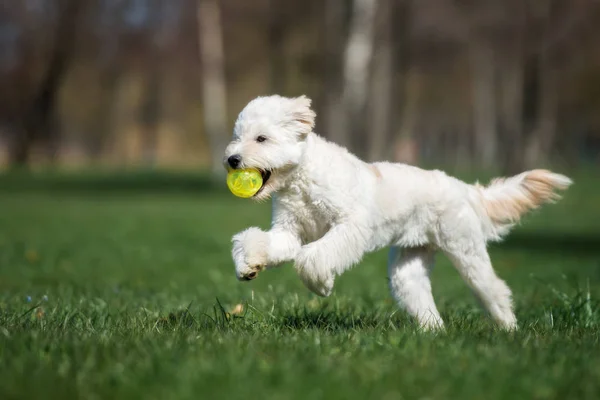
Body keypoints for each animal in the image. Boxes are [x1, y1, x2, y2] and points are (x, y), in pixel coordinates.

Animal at [224, 95, 572, 330]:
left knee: (494, 289)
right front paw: (249, 265)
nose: (232, 159)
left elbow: (313, 256)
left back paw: (508, 329)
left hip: (467, 252)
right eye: (236, 136)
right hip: (409, 268)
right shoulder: (288, 232)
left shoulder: (350, 226)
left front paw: (320, 285)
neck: (301, 179)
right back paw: (434, 333)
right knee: (420, 297)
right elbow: (257, 241)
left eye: (261, 138)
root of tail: (464, 188)